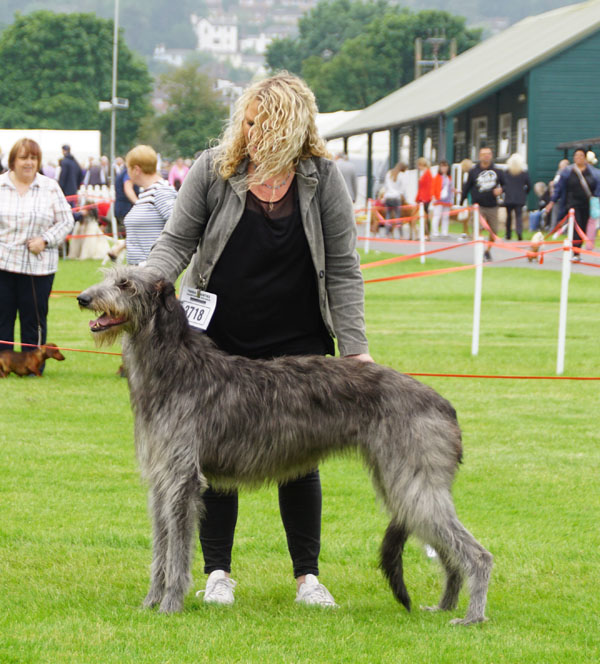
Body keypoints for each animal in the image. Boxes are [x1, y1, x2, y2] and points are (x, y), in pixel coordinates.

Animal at [77, 264, 492, 624]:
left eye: (127, 284)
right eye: (109, 277)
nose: (83, 298)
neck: (175, 367)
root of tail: (443, 404)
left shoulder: (182, 481)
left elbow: (177, 553)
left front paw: (169, 606)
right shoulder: (162, 481)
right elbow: (160, 549)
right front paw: (150, 602)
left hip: (412, 483)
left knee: (478, 554)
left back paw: (471, 616)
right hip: (403, 485)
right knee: (450, 552)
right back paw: (444, 605)